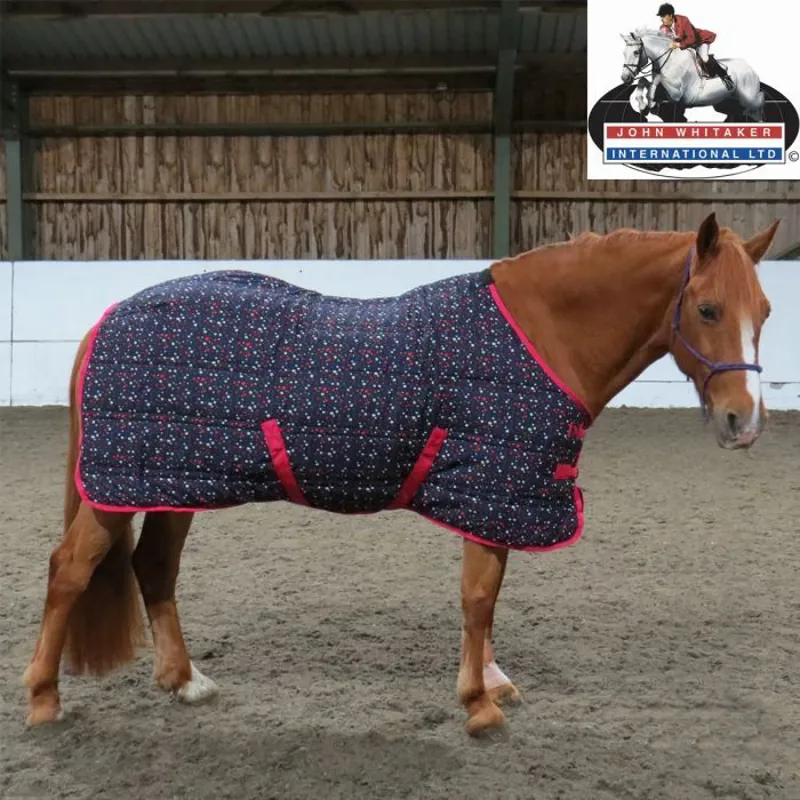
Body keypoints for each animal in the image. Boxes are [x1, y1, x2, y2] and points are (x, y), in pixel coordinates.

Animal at [22, 212, 780, 737]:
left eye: (766, 312)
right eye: (707, 309)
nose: (744, 420)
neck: (542, 336)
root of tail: (108, 319)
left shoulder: (494, 494)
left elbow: (488, 597)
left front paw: (493, 682)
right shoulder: (491, 486)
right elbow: (479, 598)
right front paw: (479, 705)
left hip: (172, 483)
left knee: (153, 568)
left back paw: (185, 682)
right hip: (118, 489)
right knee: (70, 571)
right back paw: (44, 700)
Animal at [620, 29, 765, 122]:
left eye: (636, 52)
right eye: (623, 53)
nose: (625, 78)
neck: (669, 60)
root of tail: (751, 70)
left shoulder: (676, 94)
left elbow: (656, 81)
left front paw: (650, 104)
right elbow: (643, 81)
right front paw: (643, 106)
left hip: (749, 100)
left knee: (757, 109)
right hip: (725, 103)